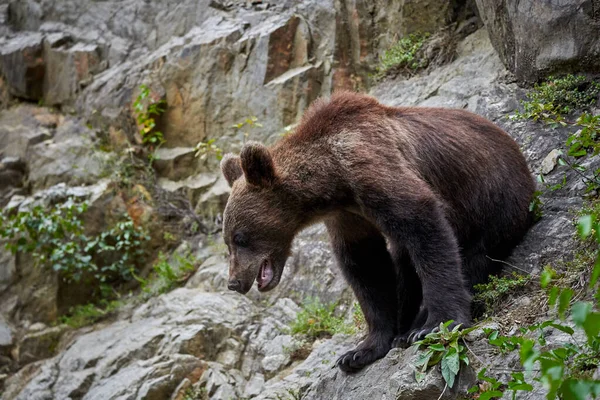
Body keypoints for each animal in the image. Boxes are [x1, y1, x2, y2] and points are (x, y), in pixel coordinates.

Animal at [219, 90, 536, 372]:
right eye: (227, 241)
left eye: (240, 237)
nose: (234, 282)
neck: (332, 182)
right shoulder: (348, 216)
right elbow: (367, 265)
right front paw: (360, 351)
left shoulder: (373, 166)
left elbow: (423, 225)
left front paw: (436, 323)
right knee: (404, 264)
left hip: (493, 202)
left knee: (474, 258)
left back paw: (414, 327)